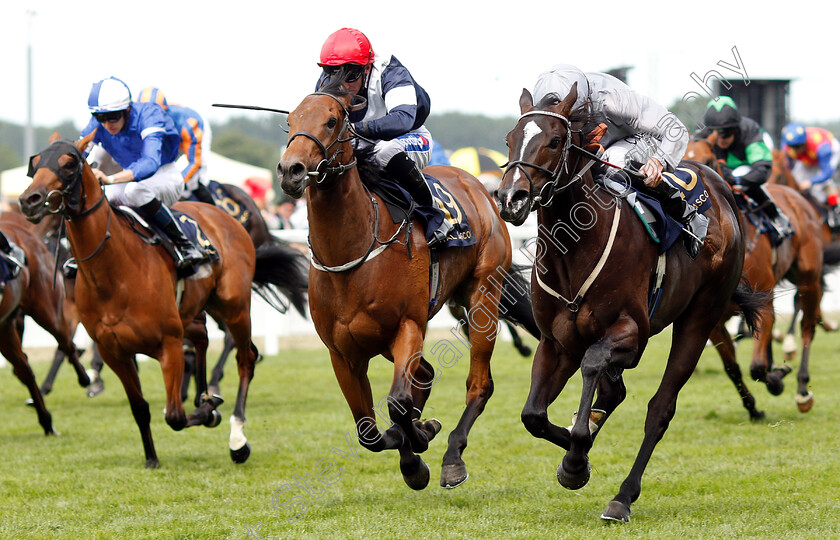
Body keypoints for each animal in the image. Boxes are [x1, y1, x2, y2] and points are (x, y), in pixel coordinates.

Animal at [0, 212, 90, 434]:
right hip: (6, 327)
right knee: (25, 368)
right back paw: (45, 419)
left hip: (48, 311)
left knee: (66, 345)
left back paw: (84, 378)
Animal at [18, 133, 282, 466]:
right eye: (36, 162)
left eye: (68, 164)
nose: (30, 200)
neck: (114, 270)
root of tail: (230, 216)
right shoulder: (114, 350)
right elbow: (140, 408)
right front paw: (152, 458)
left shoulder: (168, 344)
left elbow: (175, 416)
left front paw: (208, 413)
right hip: (195, 310)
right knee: (203, 337)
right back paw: (205, 395)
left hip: (234, 306)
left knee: (245, 357)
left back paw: (237, 438)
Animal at [276, 86, 524, 492]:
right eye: (290, 121)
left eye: (332, 120)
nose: (290, 170)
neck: (354, 251)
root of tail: (478, 185)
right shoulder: (342, 353)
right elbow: (369, 431)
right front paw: (413, 453)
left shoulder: (407, 326)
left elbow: (396, 403)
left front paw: (419, 443)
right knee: (424, 376)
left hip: (483, 296)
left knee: (478, 384)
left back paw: (452, 457)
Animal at [496, 85, 764, 524]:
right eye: (509, 139)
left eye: (554, 140)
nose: (510, 198)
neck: (575, 250)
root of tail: (721, 188)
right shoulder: (556, 343)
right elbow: (533, 415)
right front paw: (576, 457)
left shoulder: (632, 332)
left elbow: (593, 364)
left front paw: (577, 458)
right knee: (614, 394)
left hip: (700, 317)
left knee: (660, 409)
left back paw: (622, 496)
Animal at [684, 138, 832, 414]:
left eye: (708, 161)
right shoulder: (713, 318)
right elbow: (732, 366)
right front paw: (753, 408)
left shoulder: (763, 301)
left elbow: (757, 367)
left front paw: (777, 380)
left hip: (808, 279)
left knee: (807, 327)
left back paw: (802, 389)